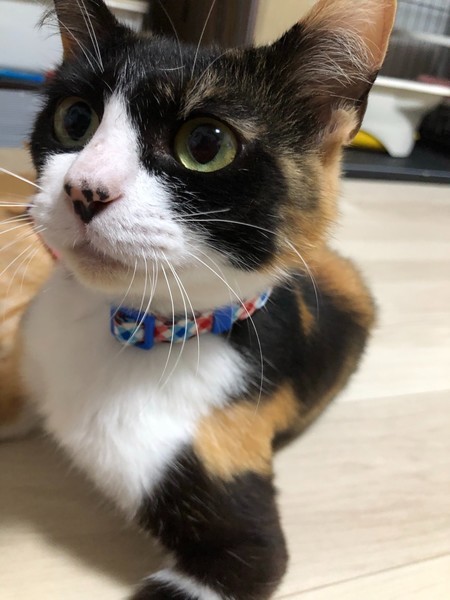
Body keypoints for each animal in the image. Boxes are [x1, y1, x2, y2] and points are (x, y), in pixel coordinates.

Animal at [0, 0, 396, 598]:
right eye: (75, 119)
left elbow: (253, 554)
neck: (129, 322)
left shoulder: (238, 531)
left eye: (205, 145)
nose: (84, 189)